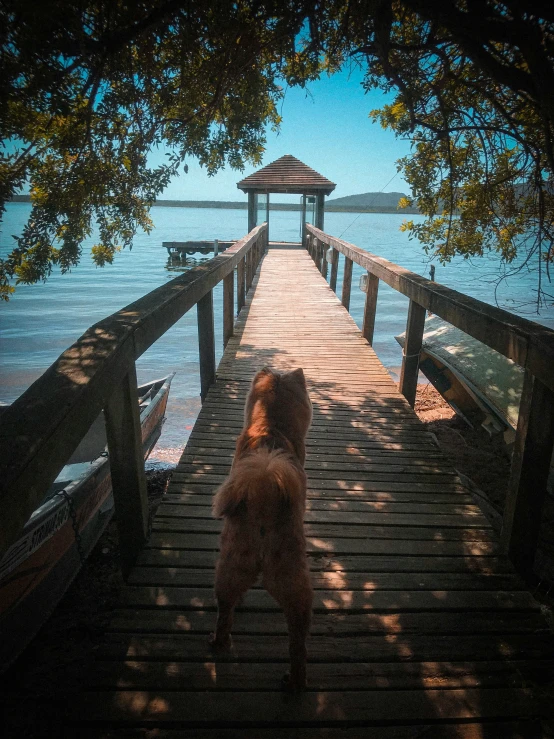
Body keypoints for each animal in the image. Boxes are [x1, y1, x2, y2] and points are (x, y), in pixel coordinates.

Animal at [209, 368, 310, 692]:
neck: (271, 426)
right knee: (297, 641)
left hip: (232, 567)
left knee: (225, 613)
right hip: (290, 580)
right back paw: (295, 682)